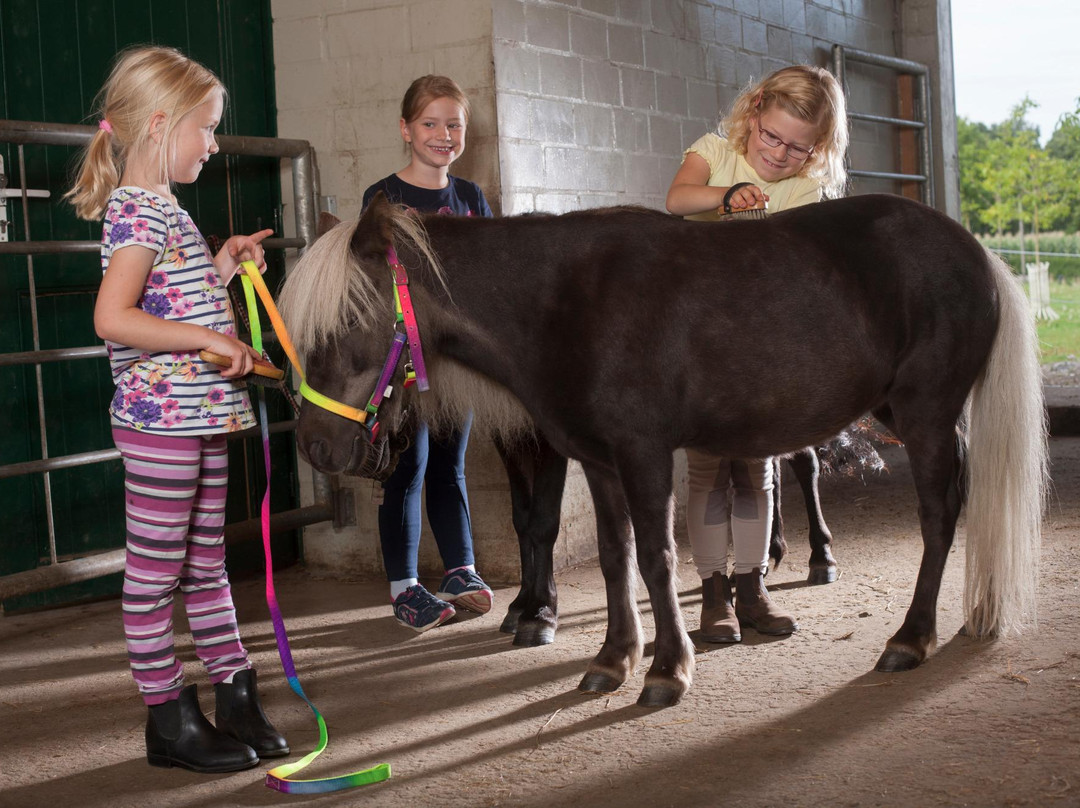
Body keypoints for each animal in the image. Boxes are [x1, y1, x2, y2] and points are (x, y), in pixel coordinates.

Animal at [280, 195, 1045, 708]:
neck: (565, 303)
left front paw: (667, 669)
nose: (314, 445)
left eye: (349, 320)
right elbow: (615, 558)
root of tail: (976, 252)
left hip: (926, 415)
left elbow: (655, 557)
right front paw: (613, 659)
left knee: (939, 515)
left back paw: (911, 638)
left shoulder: (642, 453)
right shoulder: (597, 459)